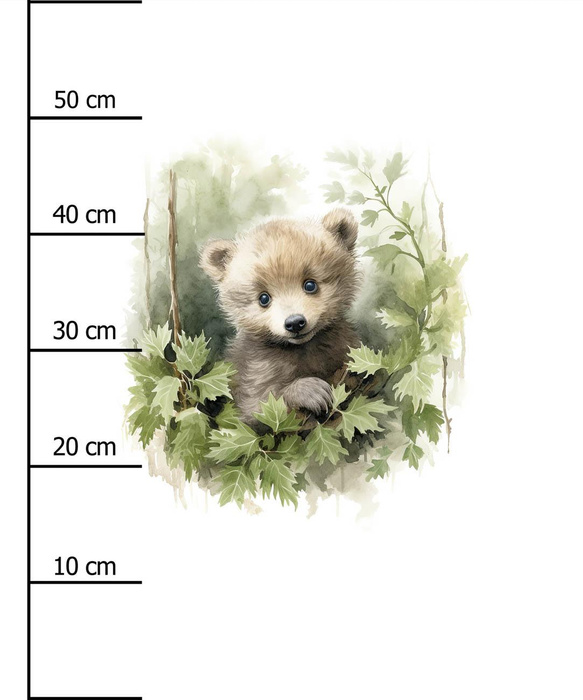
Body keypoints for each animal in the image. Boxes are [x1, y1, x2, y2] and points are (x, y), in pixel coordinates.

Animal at [200, 208, 361, 426]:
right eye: (263, 298)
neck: (303, 349)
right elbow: (260, 407)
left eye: (310, 284)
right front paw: (310, 391)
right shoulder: (254, 371)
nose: (295, 323)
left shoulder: (342, 346)